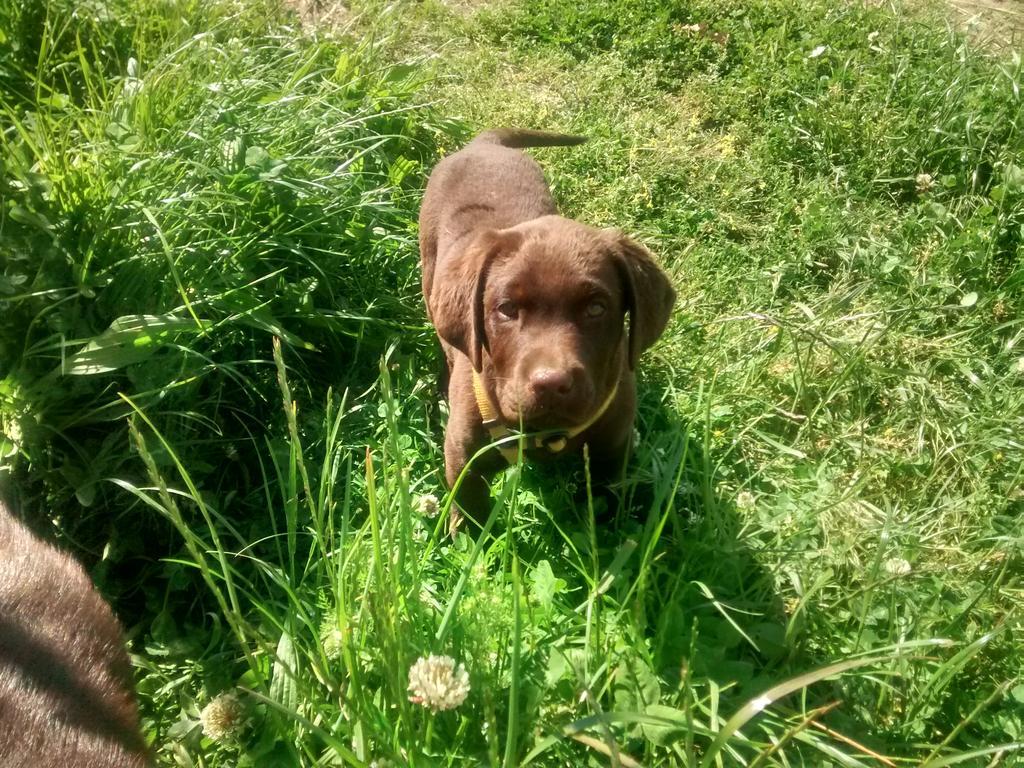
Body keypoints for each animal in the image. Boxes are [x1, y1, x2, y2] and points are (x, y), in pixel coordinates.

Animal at [419, 132, 675, 528]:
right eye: (507, 309)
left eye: (596, 308)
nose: (552, 383)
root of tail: (483, 143)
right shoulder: (464, 457)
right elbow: (469, 510)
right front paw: (465, 537)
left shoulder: (613, 448)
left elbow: (606, 504)